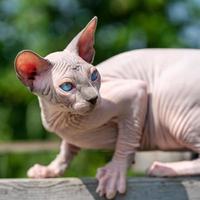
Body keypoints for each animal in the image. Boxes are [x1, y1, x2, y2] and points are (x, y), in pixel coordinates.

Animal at [13, 16, 200, 198]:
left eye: (94, 75)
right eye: (67, 87)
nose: (94, 98)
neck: (63, 116)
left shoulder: (135, 92)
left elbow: (126, 140)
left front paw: (114, 174)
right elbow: (67, 148)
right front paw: (49, 169)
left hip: (174, 115)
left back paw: (164, 168)